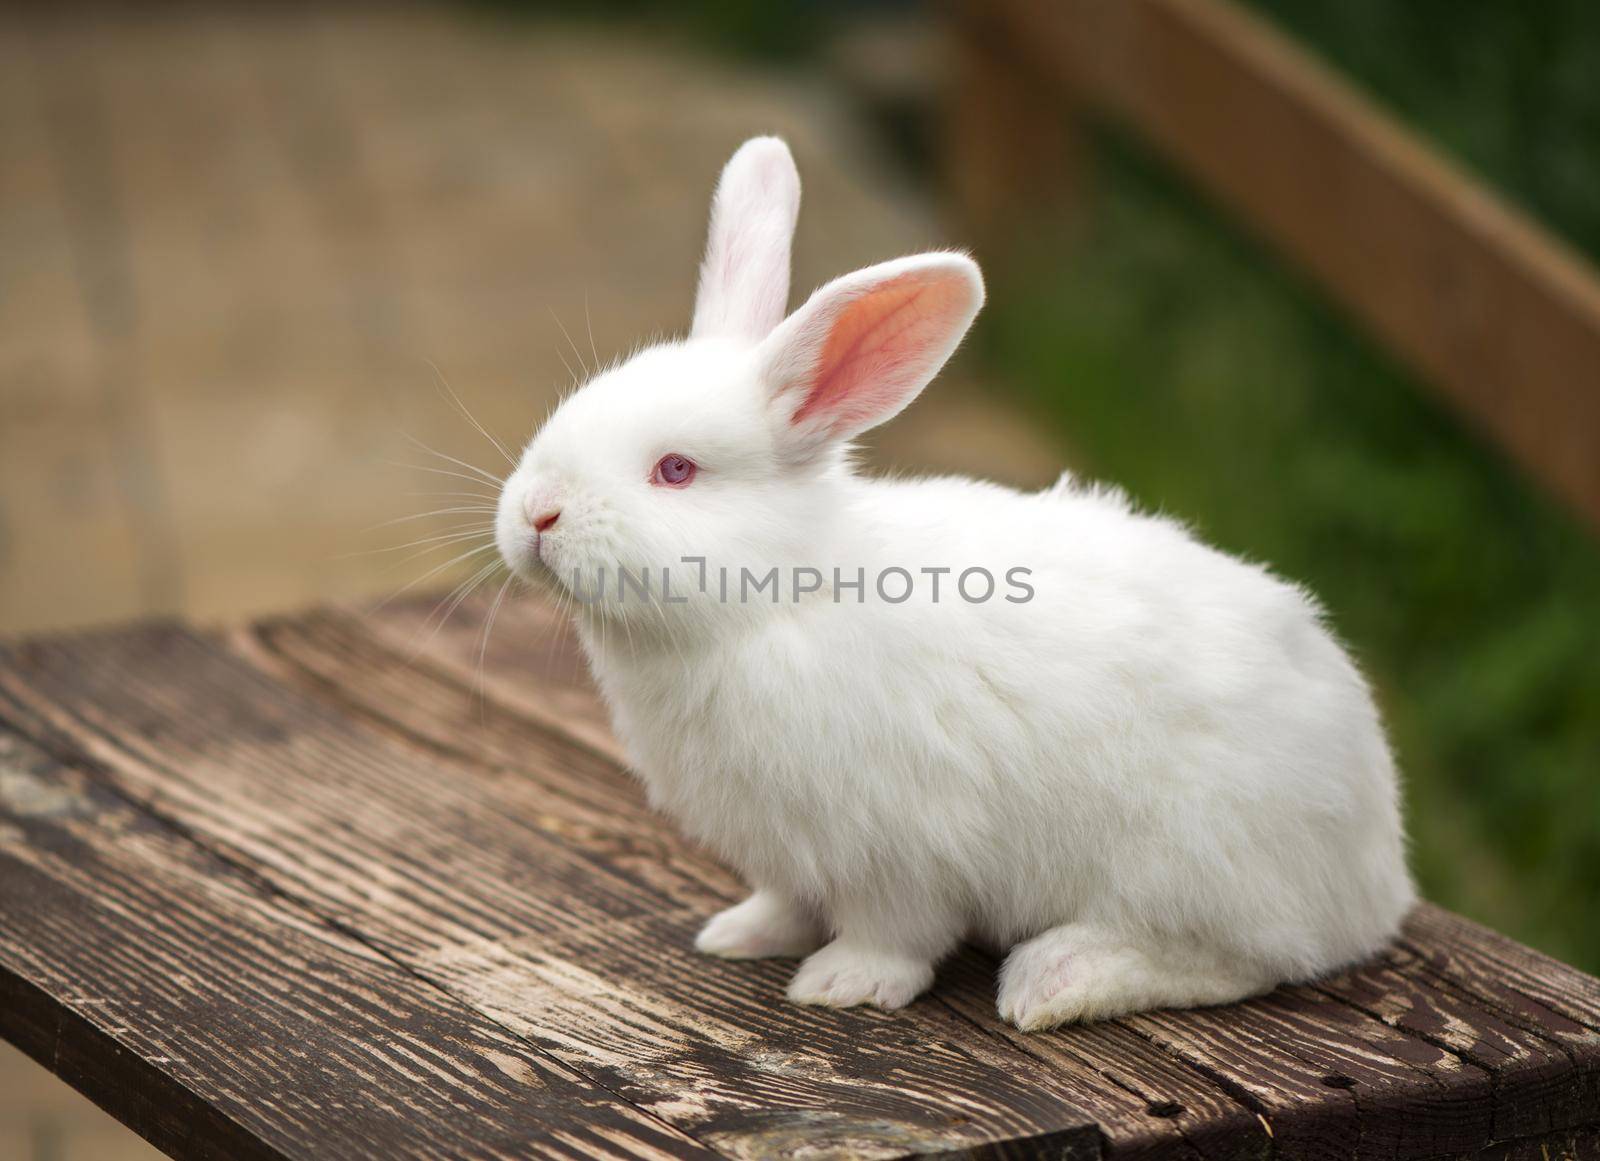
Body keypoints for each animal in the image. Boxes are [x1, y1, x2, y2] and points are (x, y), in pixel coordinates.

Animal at [496, 136, 1414, 1029]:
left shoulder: (898, 846)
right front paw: (742, 933)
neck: (775, 600)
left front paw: (842, 982)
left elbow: (894, 931)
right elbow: (789, 899)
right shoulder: (792, 849)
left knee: (1239, 960)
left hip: (1190, 860)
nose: (537, 513)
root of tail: (1379, 874)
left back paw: (1057, 979)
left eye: (676, 470)